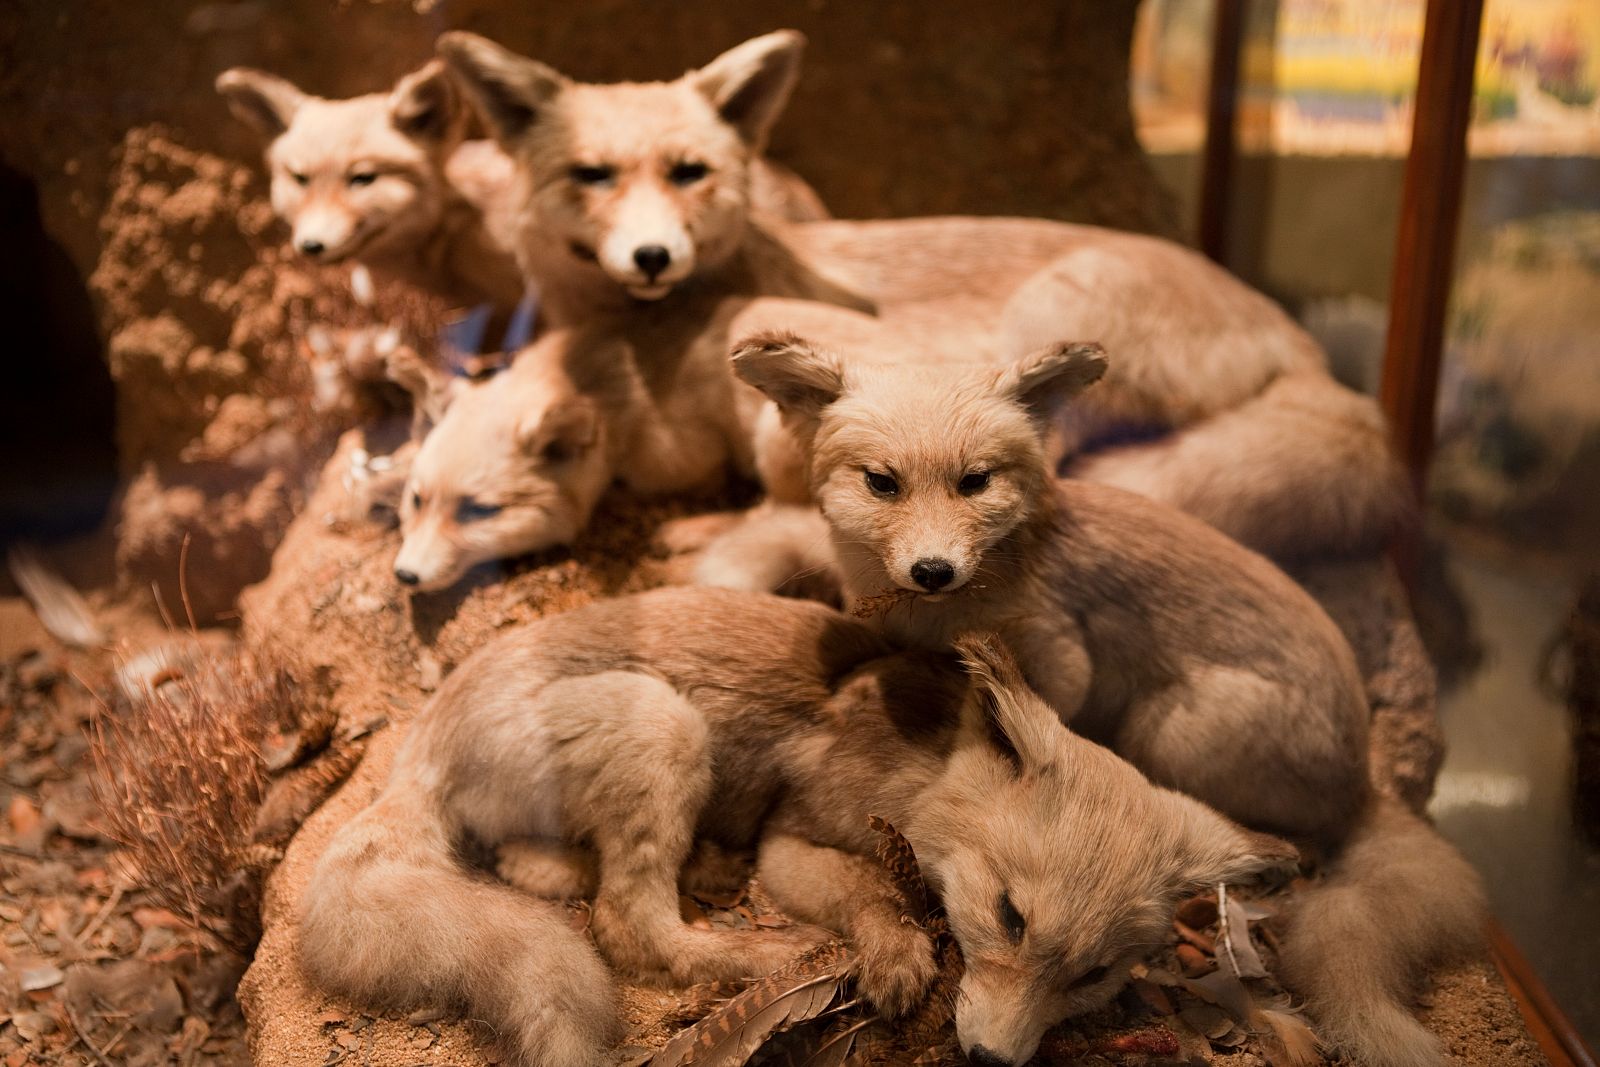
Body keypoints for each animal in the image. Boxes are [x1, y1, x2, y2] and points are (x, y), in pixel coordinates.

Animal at [302, 588, 1299, 1067]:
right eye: (1010, 919)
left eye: (1093, 977)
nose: (989, 1060)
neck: (922, 771)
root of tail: (424, 731)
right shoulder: (792, 841)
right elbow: (869, 890)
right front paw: (894, 955)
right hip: (666, 725)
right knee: (630, 926)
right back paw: (756, 957)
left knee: (548, 872)